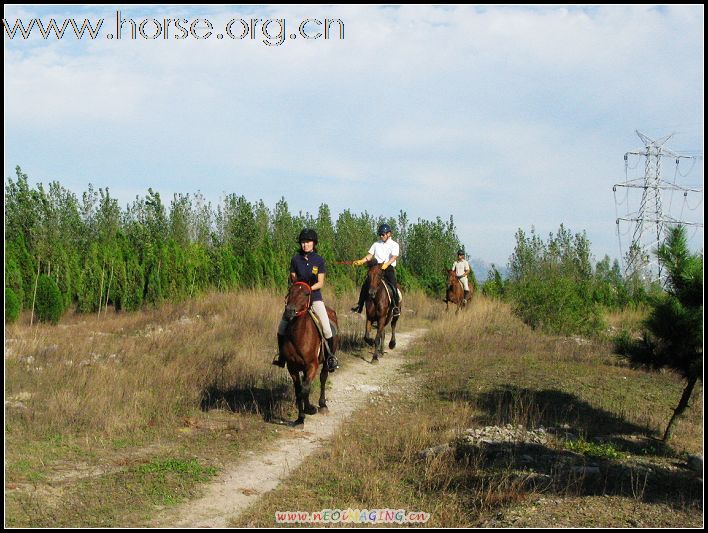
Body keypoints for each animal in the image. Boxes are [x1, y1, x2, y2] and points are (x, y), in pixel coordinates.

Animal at [280, 282, 338, 424]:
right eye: (290, 291)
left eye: (306, 294)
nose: (289, 312)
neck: (299, 334)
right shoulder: (292, 367)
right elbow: (299, 389)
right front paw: (300, 417)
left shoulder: (312, 365)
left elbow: (304, 389)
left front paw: (309, 409)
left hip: (326, 361)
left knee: (323, 378)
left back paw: (323, 405)